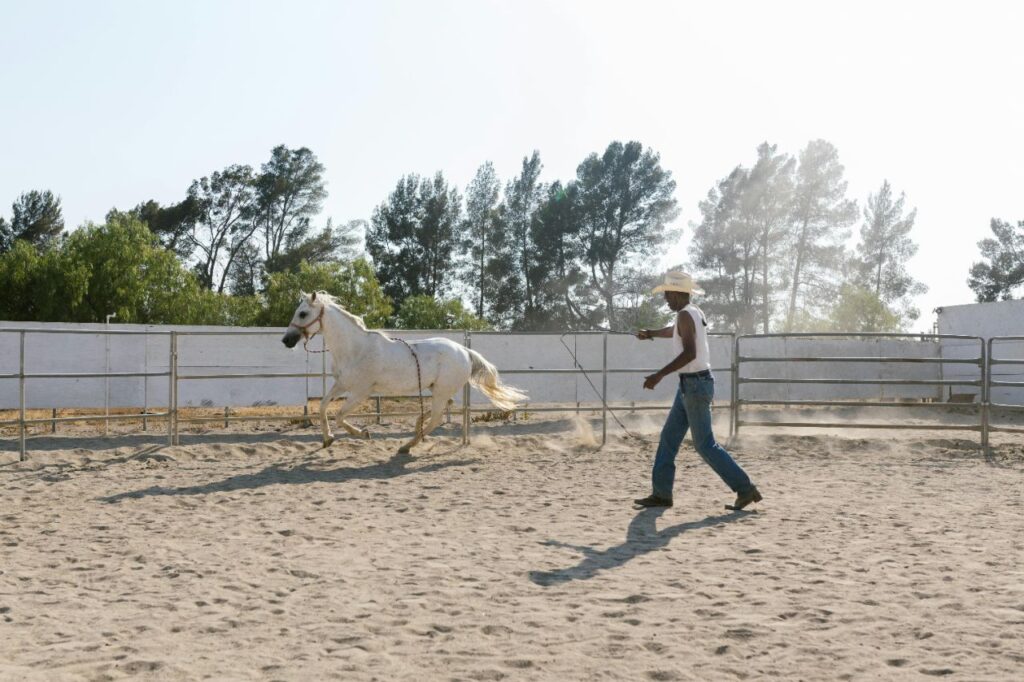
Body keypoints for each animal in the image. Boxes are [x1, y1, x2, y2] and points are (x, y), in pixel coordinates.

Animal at [281, 291, 527, 453]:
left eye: (303, 313)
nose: (286, 340)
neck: (355, 349)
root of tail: (465, 350)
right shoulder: (341, 385)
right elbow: (323, 407)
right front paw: (327, 439)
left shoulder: (361, 392)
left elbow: (340, 416)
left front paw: (363, 433)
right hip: (437, 389)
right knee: (441, 409)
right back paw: (416, 428)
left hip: (441, 390)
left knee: (437, 417)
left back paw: (408, 445)